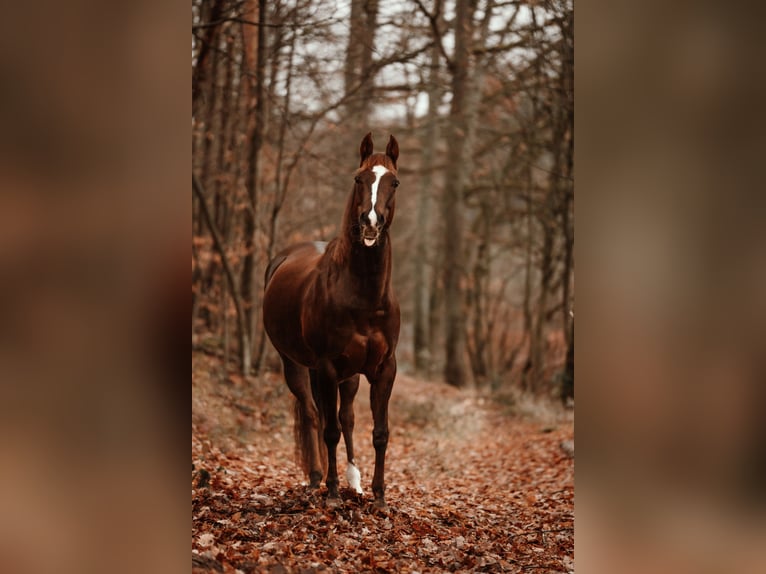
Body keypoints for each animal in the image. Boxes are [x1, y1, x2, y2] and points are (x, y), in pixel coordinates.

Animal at [262, 132, 401, 509]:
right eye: (358, 179)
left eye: (394, 182)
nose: (371, 222)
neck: (363, 297)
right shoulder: (325, 366)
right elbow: (329, 430)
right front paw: (334, 493)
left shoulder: (385, 368)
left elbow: (378, 432)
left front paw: (378, 497)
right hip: (295, 364)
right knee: (313, 414)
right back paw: (316, 478)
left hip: (347, 375)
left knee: (347, 417)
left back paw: (354, 481)